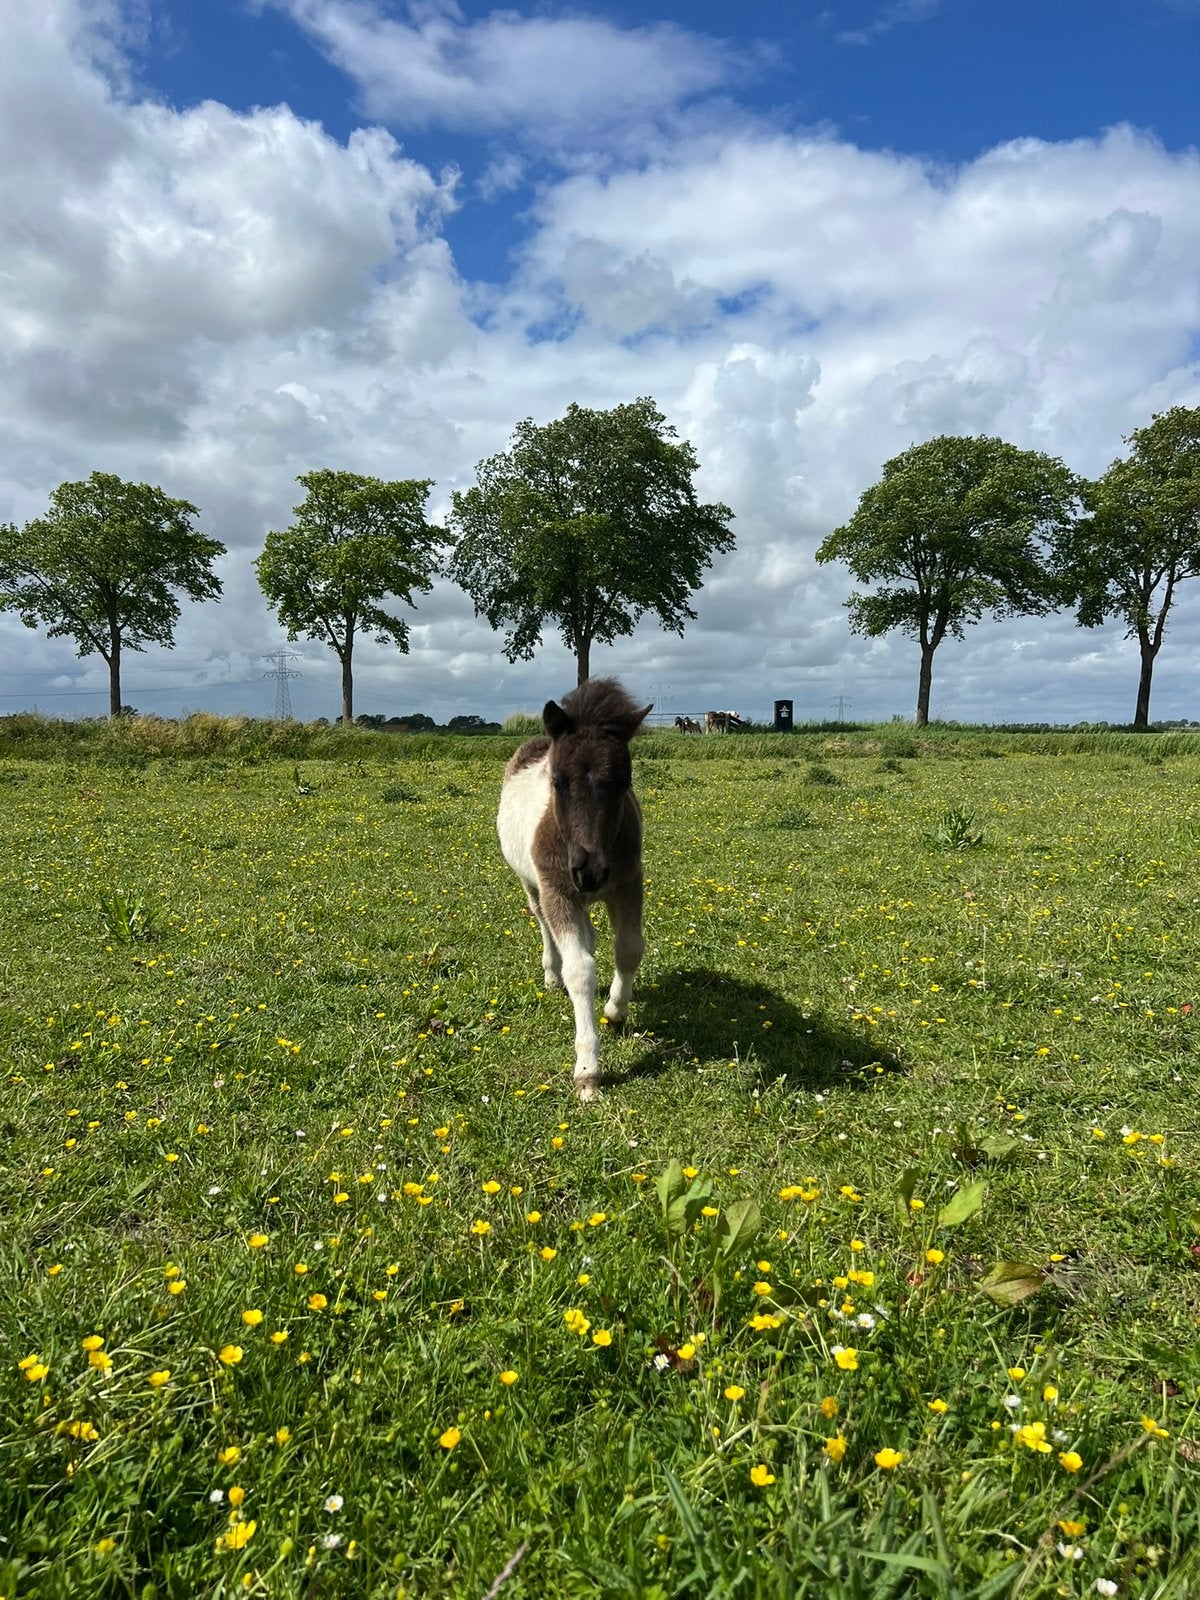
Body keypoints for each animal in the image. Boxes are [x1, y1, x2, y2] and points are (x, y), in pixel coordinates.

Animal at [498, 678, 651, 1101]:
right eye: (556, 782)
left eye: (625, 782)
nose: (589, 871)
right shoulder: (559, 893)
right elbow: (580, 970)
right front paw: (587, 1071)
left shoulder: (627, 885)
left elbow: (629, 950)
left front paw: (616, 1011)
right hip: (535, 887)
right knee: (545, 928)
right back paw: (552, 977)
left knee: (591, 935)